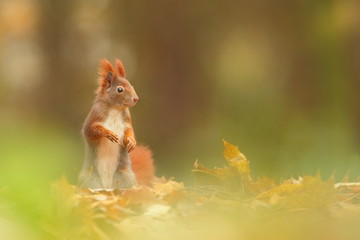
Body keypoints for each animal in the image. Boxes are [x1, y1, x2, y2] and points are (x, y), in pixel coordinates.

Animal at [79, 58, 155, 189]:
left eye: (131, 85)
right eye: (120, 89)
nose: (136, 99)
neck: (115, 108)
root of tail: (107, 187)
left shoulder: (127, 121)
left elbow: (129, 131)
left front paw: (131, 142)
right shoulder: (94, 116)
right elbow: (90, 131)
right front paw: (107, 133)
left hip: (124, 176)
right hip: (89, 177)